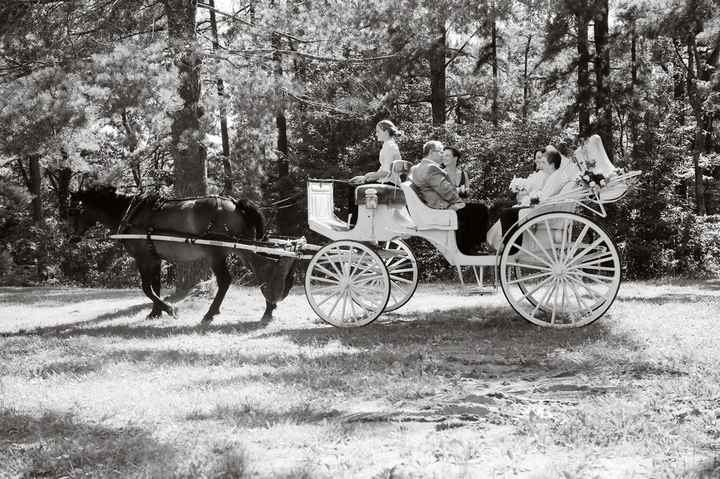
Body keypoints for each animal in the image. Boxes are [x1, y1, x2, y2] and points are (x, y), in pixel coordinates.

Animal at [71, 186, 296, 324]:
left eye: (73, 211)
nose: (70, 237)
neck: (132, 214)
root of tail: (235, 204)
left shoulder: (143, 257)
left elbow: (146, 287)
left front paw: (169, 309)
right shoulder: (154, 258)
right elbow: (156, 286)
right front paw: (155, 312)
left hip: (220, 252)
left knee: (230, 279)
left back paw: (212, 313)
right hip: (240, 248)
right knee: (262, 269)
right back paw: (269, 307)